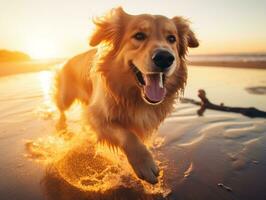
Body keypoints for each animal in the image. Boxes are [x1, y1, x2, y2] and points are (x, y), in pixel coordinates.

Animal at [55, 7, 198, 184]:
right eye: (139, 36)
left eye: (172, 38)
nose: (164, 58)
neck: (133, 97)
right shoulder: (96, 115)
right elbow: (127, 135)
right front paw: (144, 163)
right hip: (64, 98)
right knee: (61, 109)